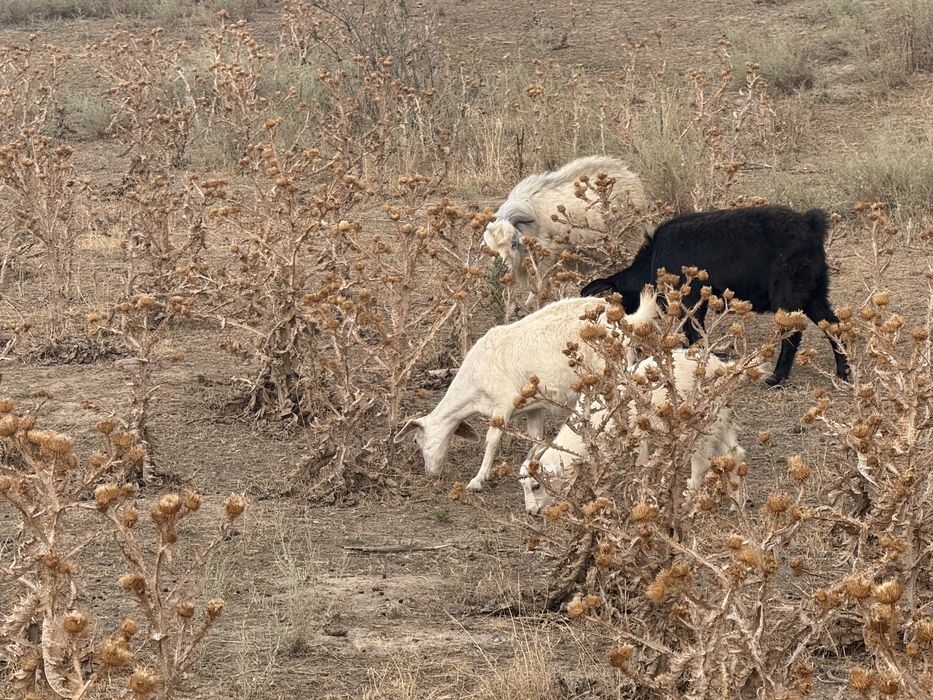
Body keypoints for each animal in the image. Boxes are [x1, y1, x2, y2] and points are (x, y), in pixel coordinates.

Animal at [393, 289, 659, 492]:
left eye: (416, 440)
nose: (431, 473)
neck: (472, 388)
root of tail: (628, 321)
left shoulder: (502, 404)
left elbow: (492, 440)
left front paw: (478, 480)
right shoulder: (534, 408)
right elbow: (537, 438)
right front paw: (530, 465)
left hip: (610, 374)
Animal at [483, 156, 647, 287]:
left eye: (514, 243)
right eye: (493, 251)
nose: (505, 270)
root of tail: (627, 172)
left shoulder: (546, 262)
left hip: (630, 237)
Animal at [519, 350, 746, 515]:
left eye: (536, 486)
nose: (531, 512)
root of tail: (722, 367)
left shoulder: (637, 441)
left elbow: (641, 469)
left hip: (702, 424)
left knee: (700, 465)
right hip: (721, 421)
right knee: (735, 454)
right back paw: (735, 505)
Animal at [581, 206, 849, 386]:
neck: (652, 260)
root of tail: (811, 224)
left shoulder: (691, 300)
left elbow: (693, 332)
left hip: (789, 295)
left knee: (792, 334)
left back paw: (777, 378)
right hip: (814, 293)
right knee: (833, 326)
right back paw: (844, 372)